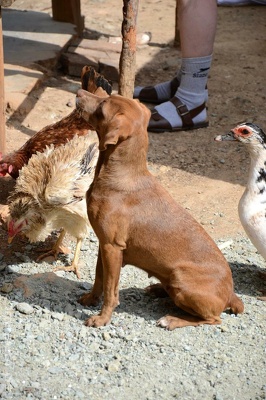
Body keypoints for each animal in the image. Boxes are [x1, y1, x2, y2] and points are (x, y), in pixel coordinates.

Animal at [75, 90, 243, 332]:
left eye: (103, 105)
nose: (79, 92)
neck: (121, 174)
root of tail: (230, 294)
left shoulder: (112, 247)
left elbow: (110, 290)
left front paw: (102, 318)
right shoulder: (104, 244)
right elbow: (99, 279)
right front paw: (90, 300)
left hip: (180, 278)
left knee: (213, 319)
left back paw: (171, 319)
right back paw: (158, 289)